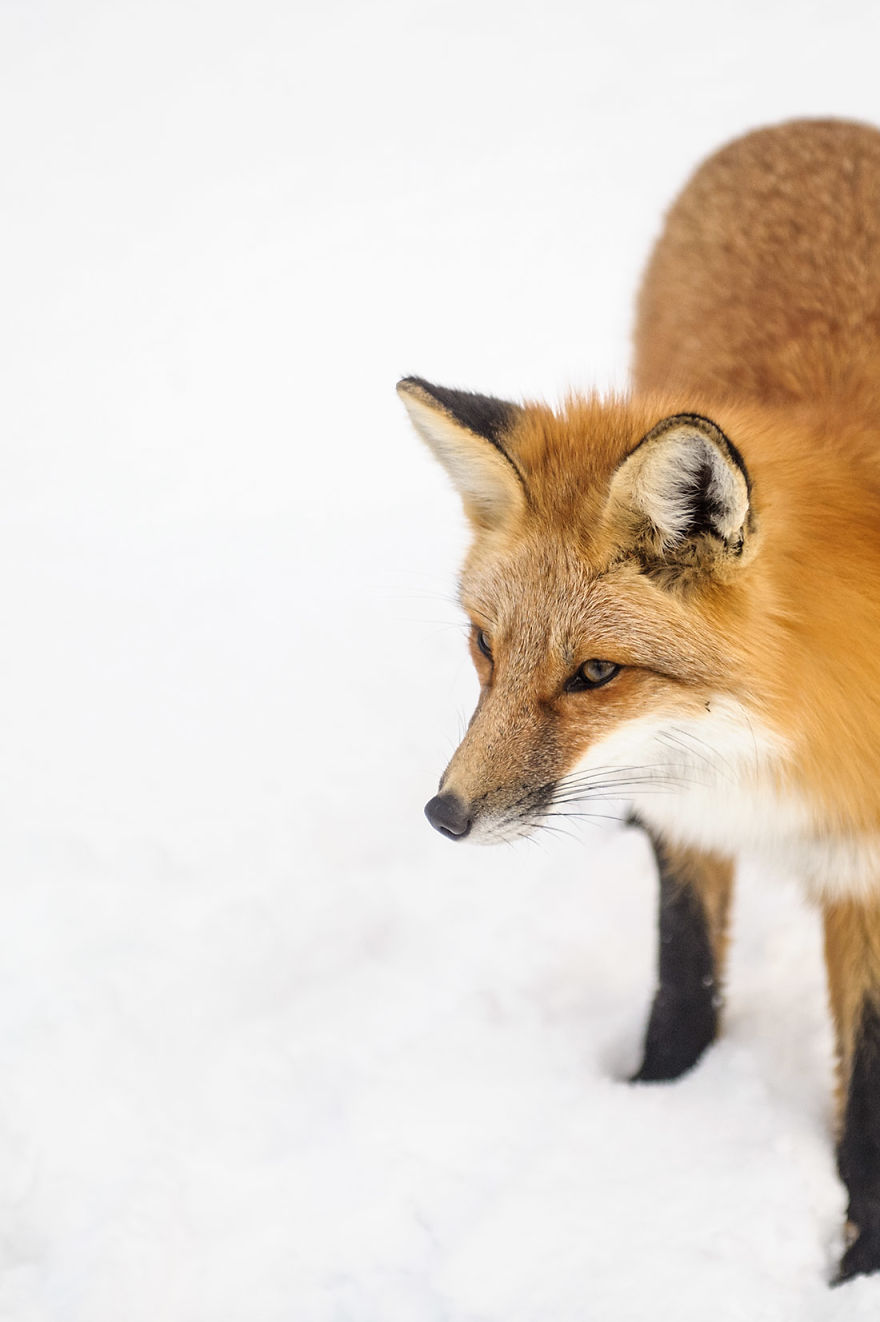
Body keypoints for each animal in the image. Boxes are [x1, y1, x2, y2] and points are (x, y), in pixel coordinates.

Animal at [397, 119, 880, 1284]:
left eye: (595, 673)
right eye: (484, 647)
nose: (443, 814)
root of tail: (801, 127)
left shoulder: (866, 863)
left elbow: (870, 1103)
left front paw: (859, 1260)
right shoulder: (687, 813)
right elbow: (683, 983)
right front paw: (651, 1113)